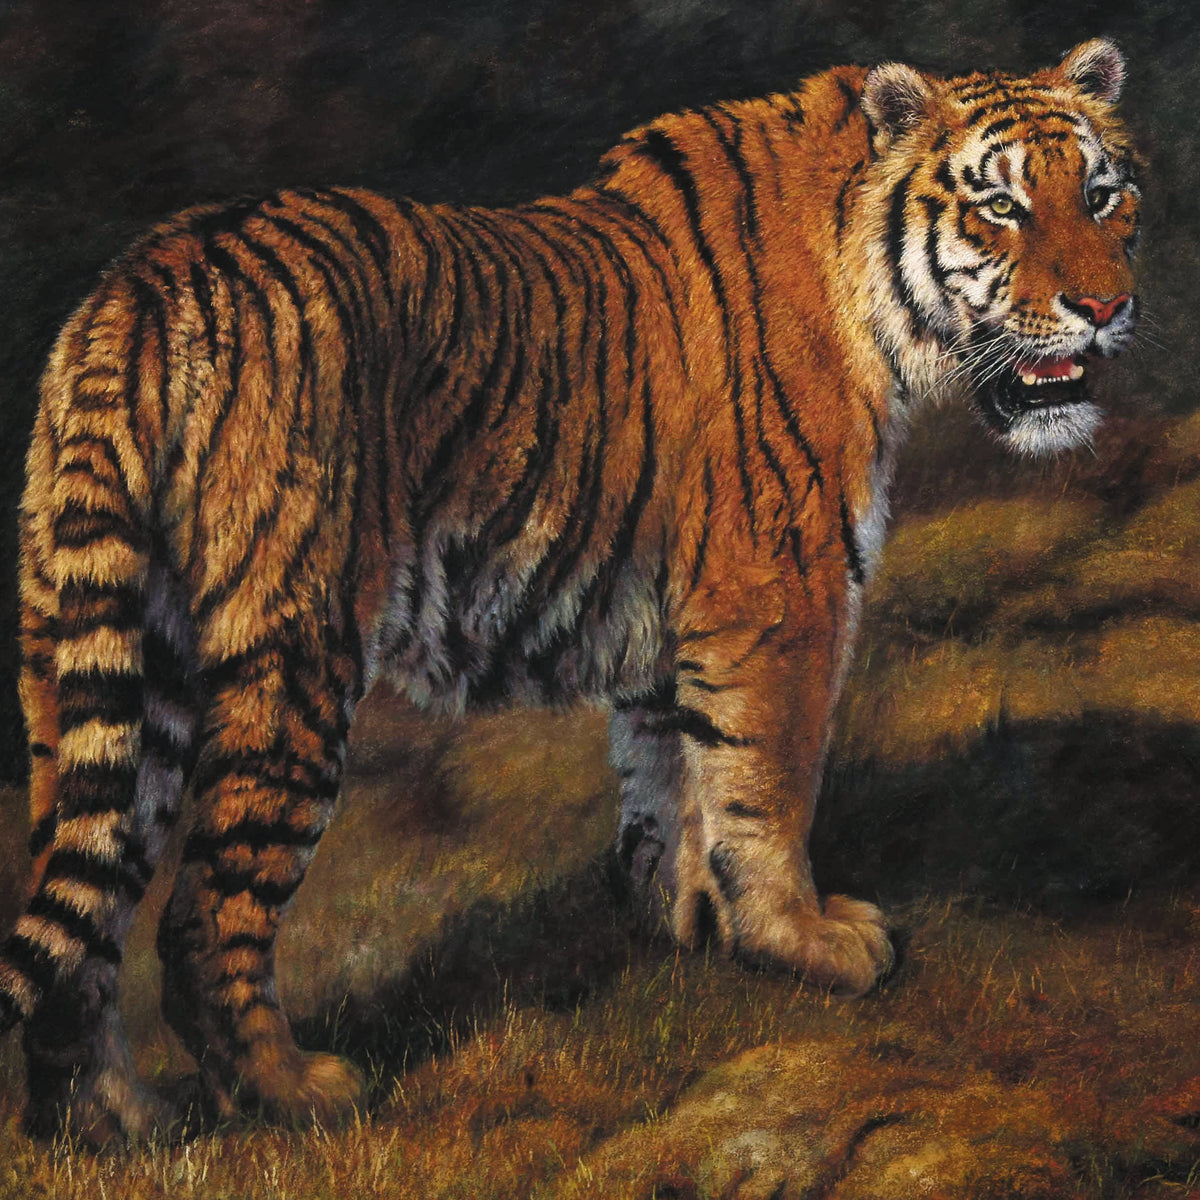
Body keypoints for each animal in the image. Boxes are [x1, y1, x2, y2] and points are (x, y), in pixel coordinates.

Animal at [0, 38, 1140, 1143]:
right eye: (1001, 207)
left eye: (1102, 195)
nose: (1104, 308)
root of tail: (141, 284)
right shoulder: (781, 594)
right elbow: (766, 785)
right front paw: (804, 941)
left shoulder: (672, 624)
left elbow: (670, 782)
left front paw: (687, 924)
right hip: (290, 660)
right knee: (201, 916)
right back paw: (298, 1094)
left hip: (99, 666)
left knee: (81, 908)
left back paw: (111, 1123)